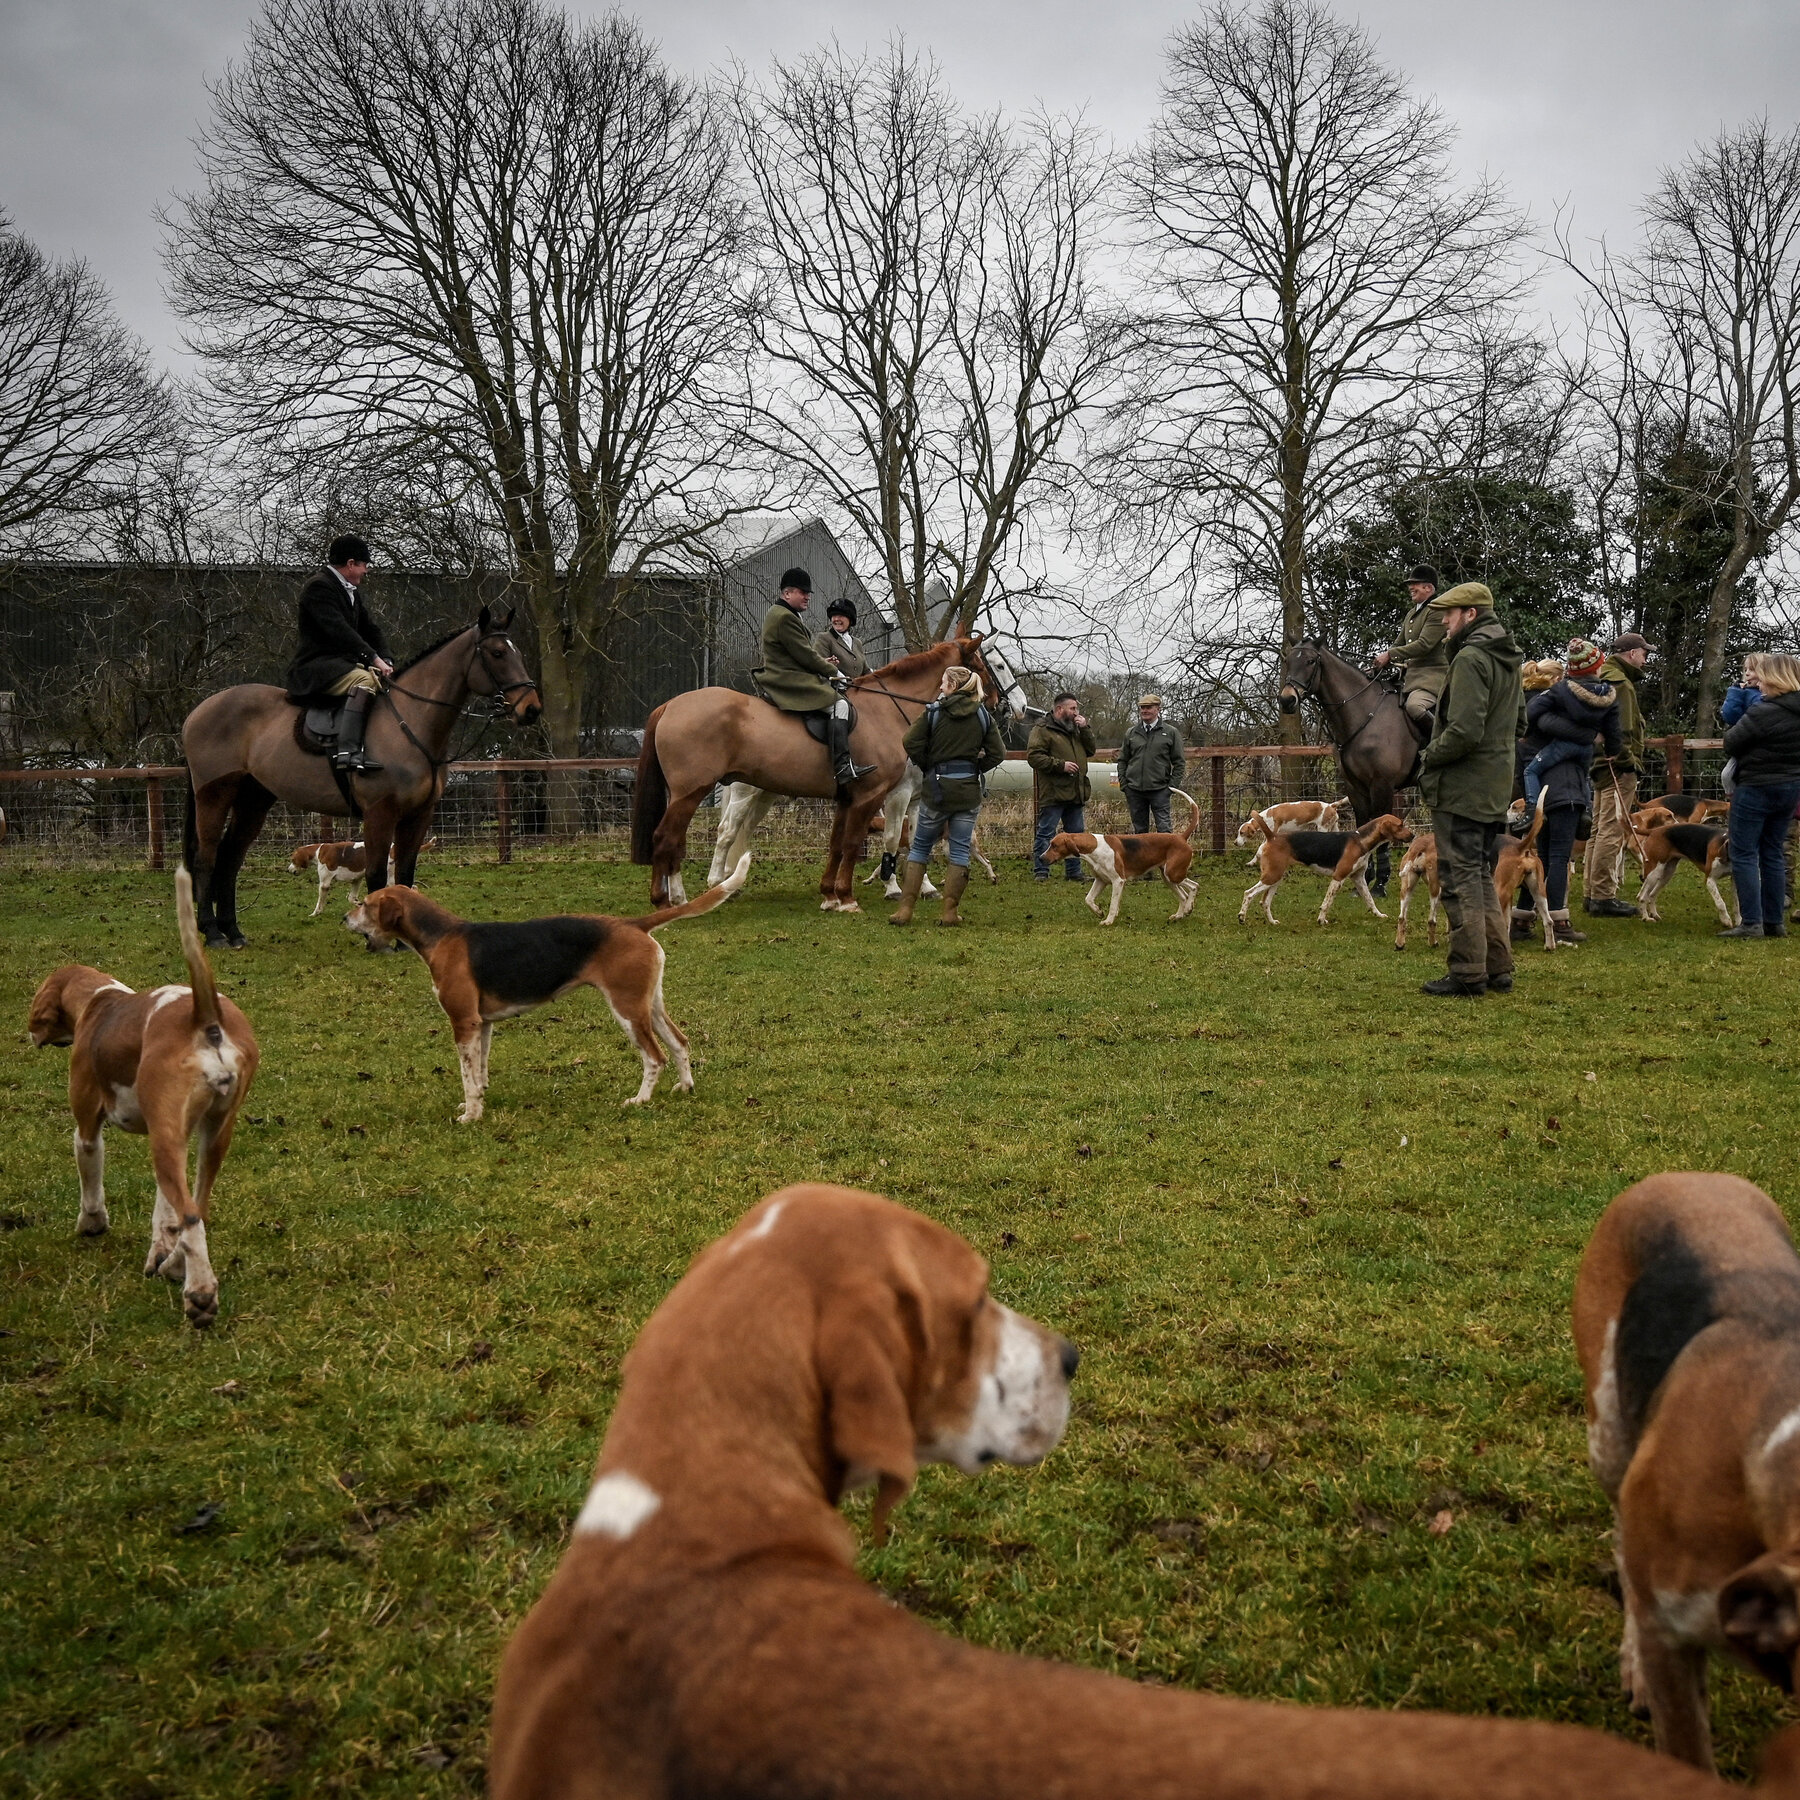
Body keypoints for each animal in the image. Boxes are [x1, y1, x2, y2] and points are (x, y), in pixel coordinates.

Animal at [179, 604, 536, 950]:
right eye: (497, 654)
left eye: (518, 652)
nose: (531, 709)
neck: (409, 723)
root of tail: (198, 710)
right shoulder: (380, 812)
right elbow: (377, 874)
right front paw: (377, 939)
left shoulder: (420, 814)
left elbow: (404, 873)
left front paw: (402, 941)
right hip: (214, 797)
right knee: (206, 858)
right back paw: (213, 933)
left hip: (253, 799)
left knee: (230, 858)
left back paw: (233, 931)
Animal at [630, 637, 1000, 914]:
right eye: (985, 665)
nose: (995, 700)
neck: (886, 710)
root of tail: (671, 705)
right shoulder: (873, 795)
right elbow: (855, 843)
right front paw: (849, 898)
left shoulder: (849, 798)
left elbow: (837, 844)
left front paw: (829, 895)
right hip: (693, 792)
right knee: (669, 838)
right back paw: (667, 901)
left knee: (687, 840)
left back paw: (686, 897)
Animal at [1281, 644, 1418, 896]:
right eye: (1287, 661)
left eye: (1311, 661)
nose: (1286, 700)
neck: (1365, 715)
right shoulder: (1355, 787)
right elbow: (1363, 826)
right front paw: (1365, 876)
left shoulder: (1382, 786)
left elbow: (1382, 827)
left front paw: (1380, 883)